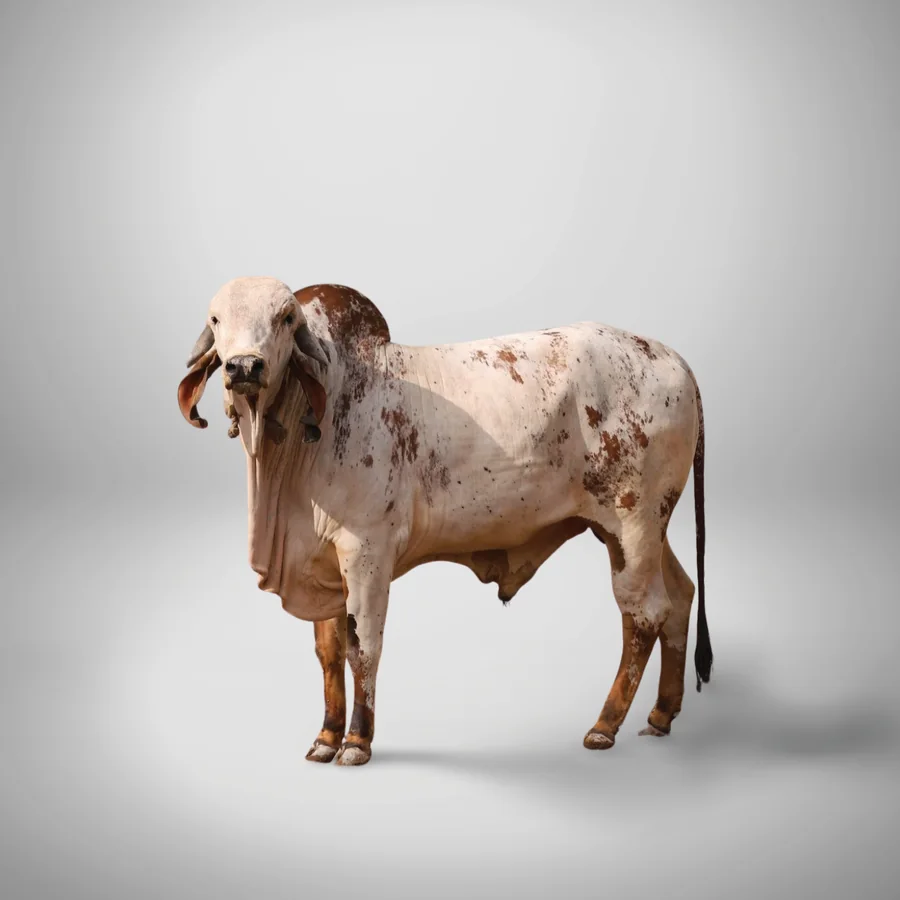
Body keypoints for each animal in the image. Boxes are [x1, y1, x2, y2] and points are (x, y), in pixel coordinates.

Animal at [178, 277, 712, 766]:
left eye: (286, 318)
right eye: (216, 319)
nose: (244, 366)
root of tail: (677, 362)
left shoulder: (366, 553)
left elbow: (362, 647)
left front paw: (356, 742)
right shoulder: (322, 564)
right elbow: (328, 653)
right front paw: (325, 737)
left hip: (633, 523)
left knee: (644, 613)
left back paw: (605, 725)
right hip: (643, 529)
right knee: (681, 594)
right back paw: (661, 714)